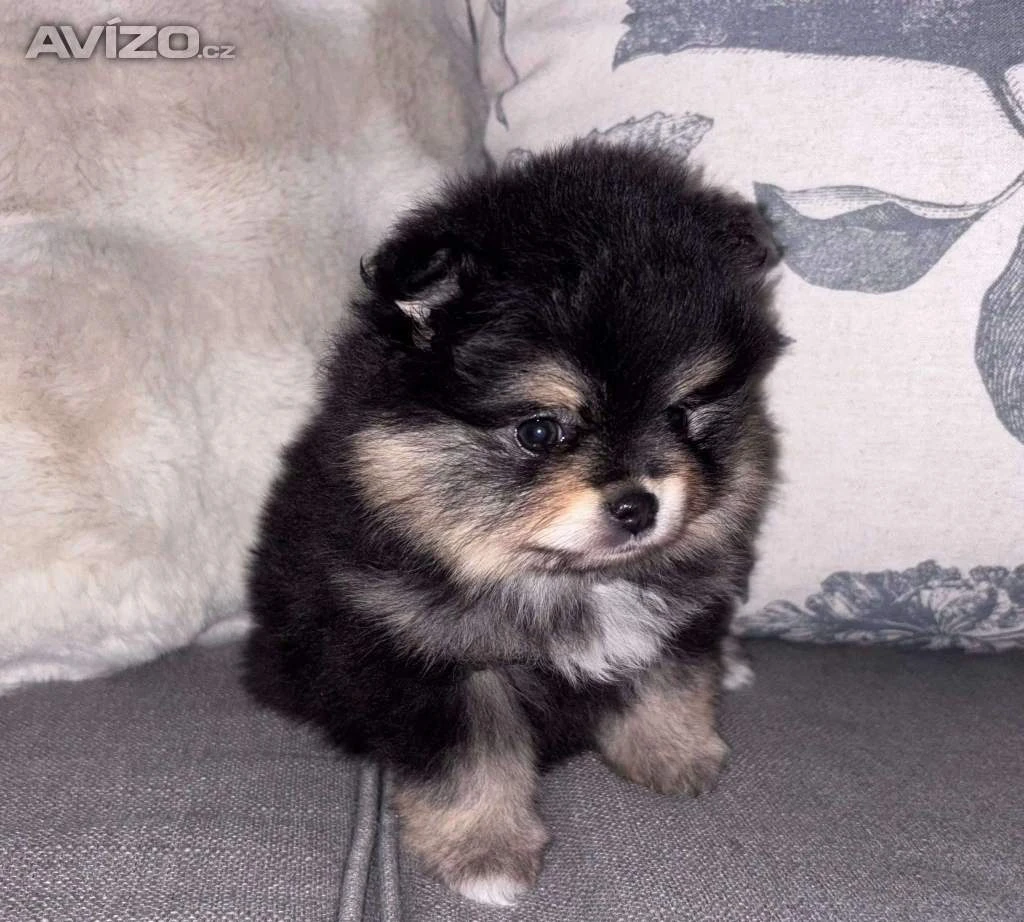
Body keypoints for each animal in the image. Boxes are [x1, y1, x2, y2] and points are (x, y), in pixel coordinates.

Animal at [244, 141, 784, 906]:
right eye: (539, 430)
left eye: (683, 413)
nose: (639, 505)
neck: (567, 582)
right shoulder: (435, 661)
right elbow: (473, 764)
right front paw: (486, 856)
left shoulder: (673, 614)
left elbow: (667, 681)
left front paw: (674, 753)